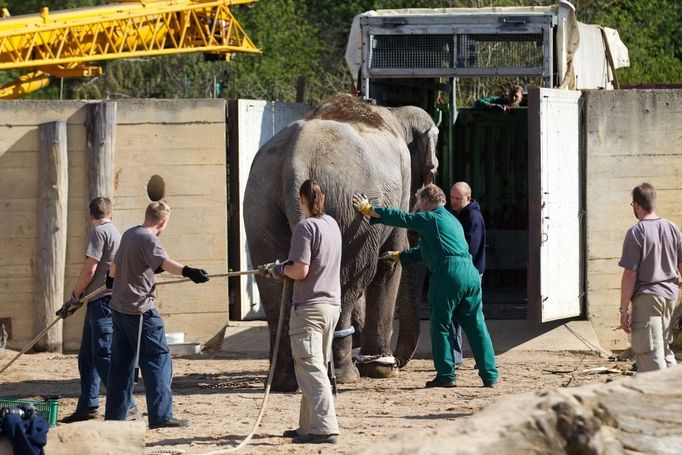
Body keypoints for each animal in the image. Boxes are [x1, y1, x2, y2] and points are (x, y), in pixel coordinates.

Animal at [243, 93, 436, 392]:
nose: (397, 363)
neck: (394, 111)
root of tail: (295, 162)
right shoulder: (402, 183)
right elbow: (388, 264)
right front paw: (380, 370)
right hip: (344, 207)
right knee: (350, 279)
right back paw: (346, 375)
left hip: (259, 208)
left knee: (274, 289)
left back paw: (284, 381)